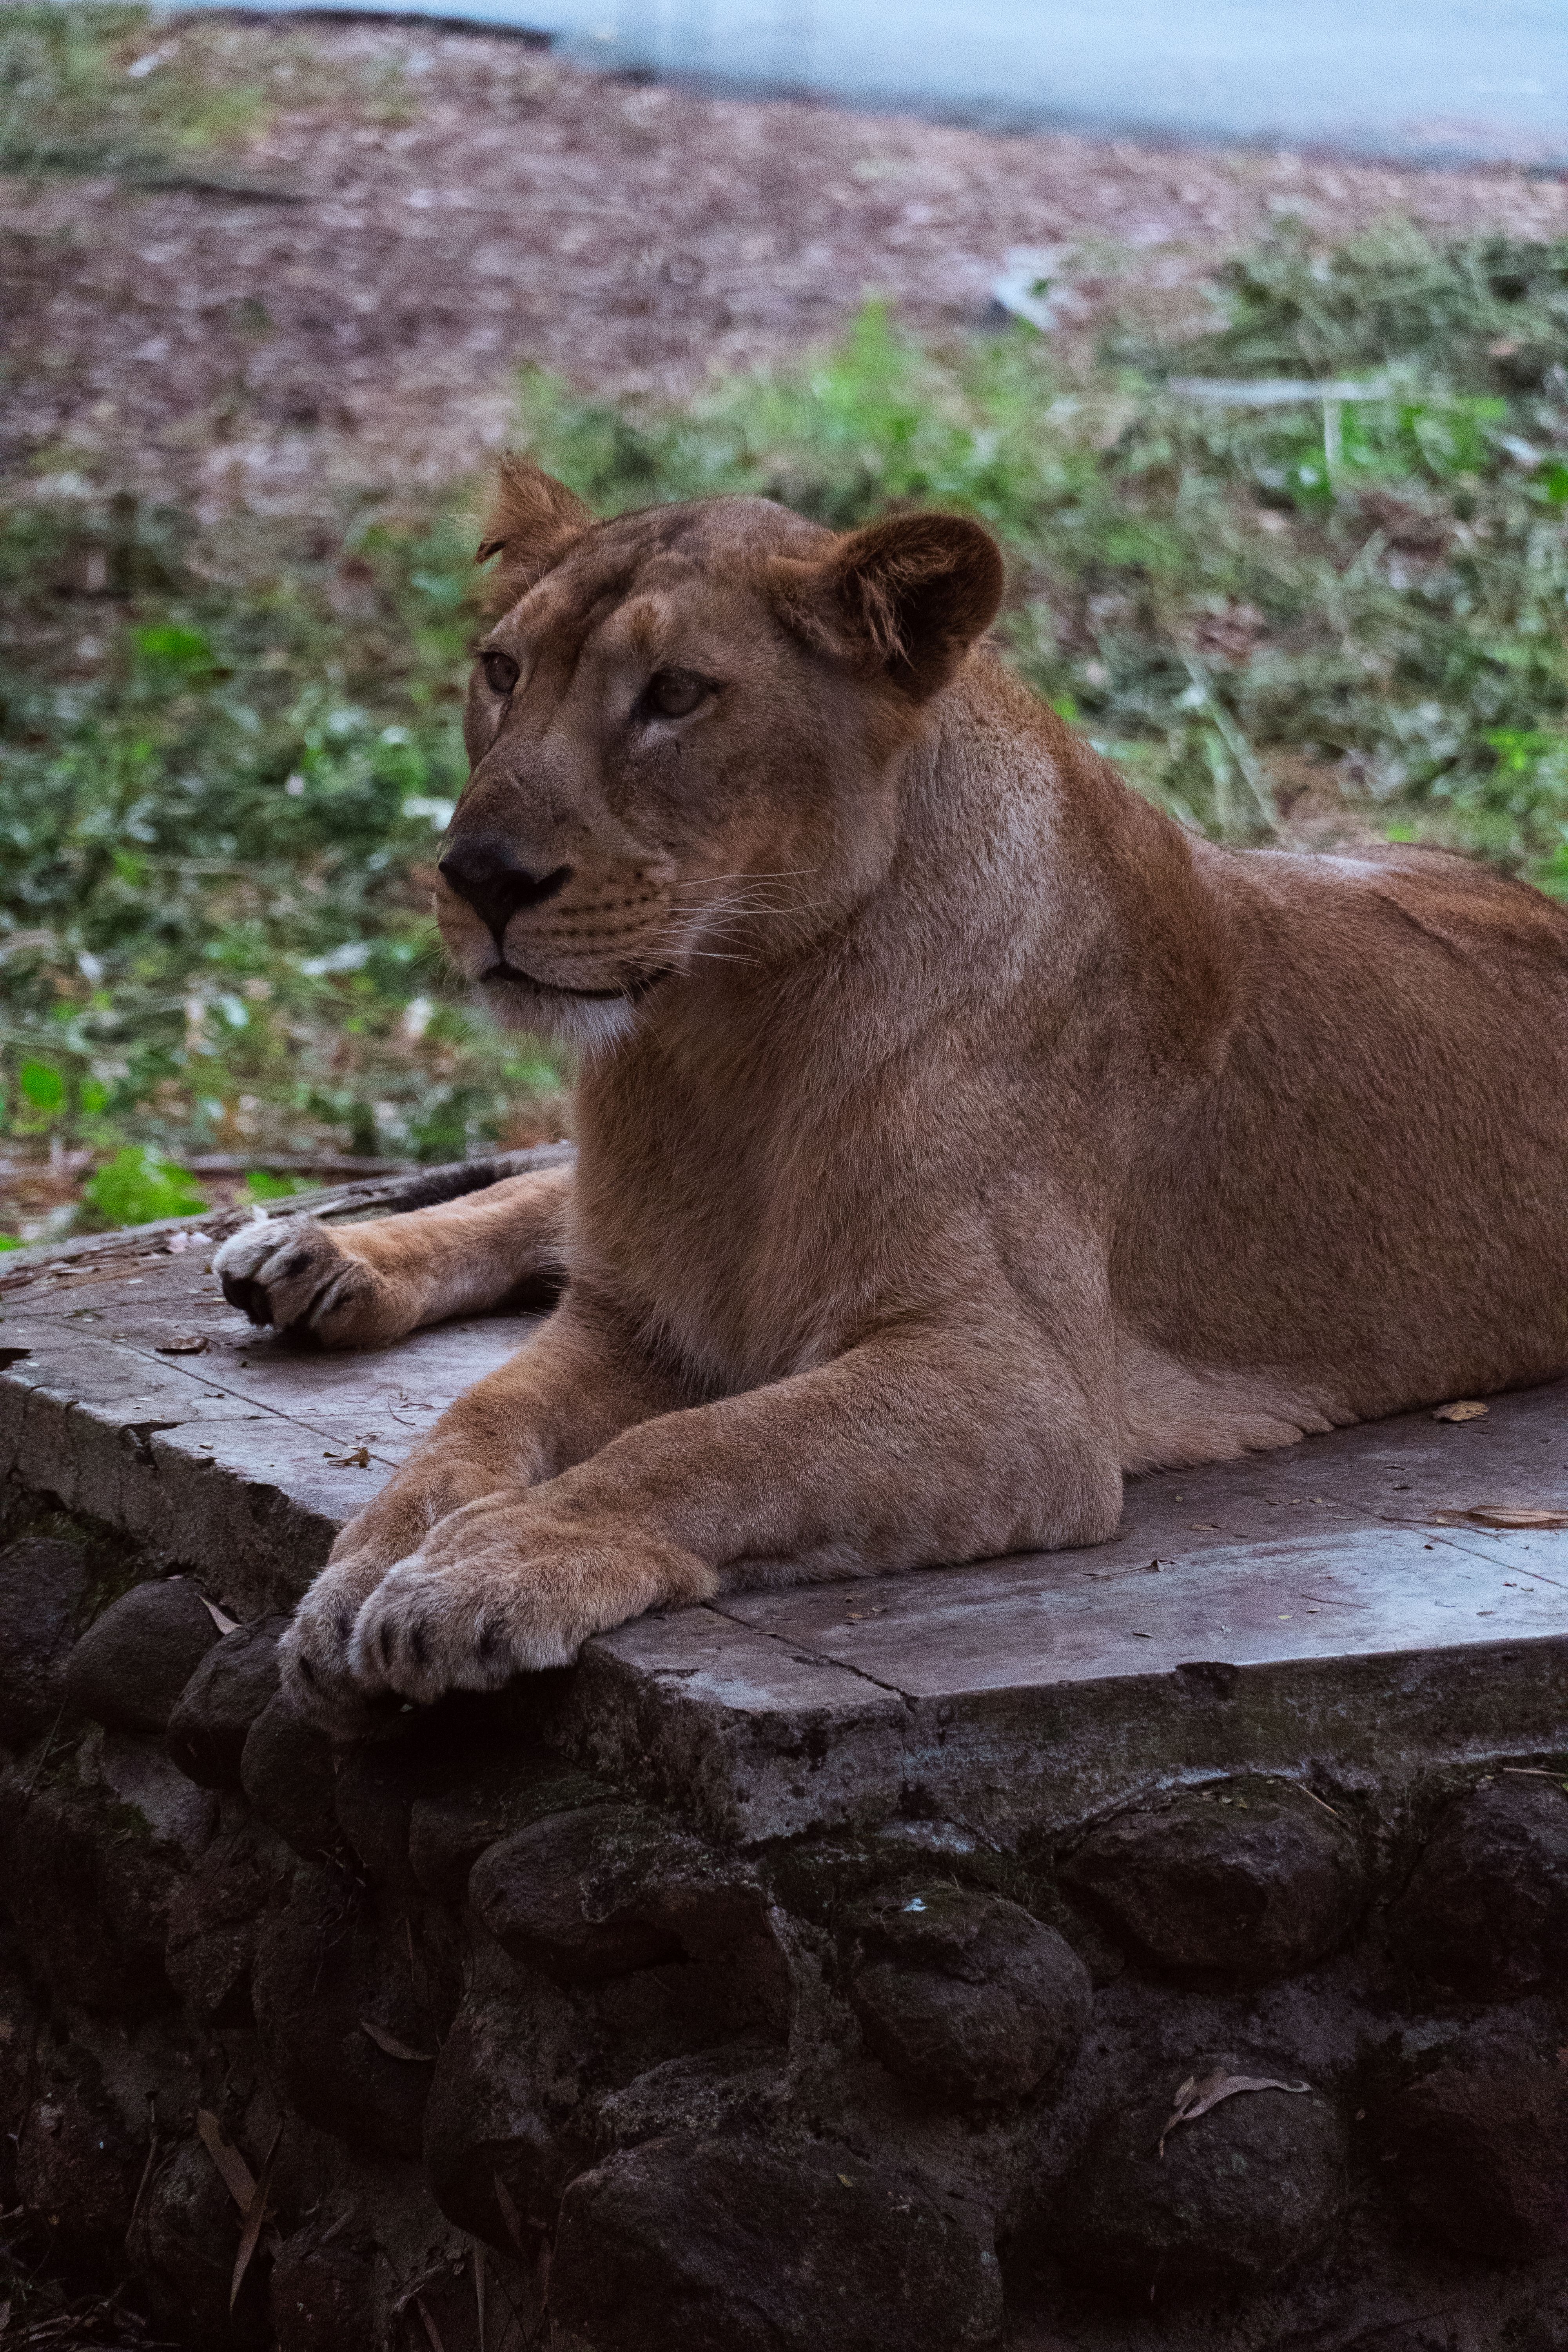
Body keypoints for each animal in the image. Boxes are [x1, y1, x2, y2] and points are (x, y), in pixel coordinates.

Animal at [215, 459, 1568, 1732]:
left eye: (675, 695)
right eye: (501, 671)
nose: (478, 875)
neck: (723, 1042)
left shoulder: (1018, 1390)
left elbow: (699, 1446)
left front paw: (477, 1573)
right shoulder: (637, 1318)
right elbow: (468, 1427)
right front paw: (364, 1574)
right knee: (546, 1192)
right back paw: (314, 1257)